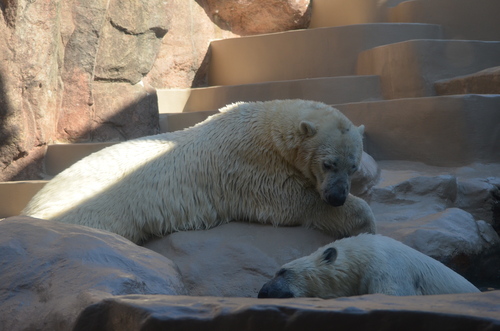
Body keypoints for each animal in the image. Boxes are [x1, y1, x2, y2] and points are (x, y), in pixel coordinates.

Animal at [22, 99, 376, 244]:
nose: (337, 196)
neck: (266, 127)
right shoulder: (250, 165)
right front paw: (364, 222)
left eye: (352, 165)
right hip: (91, 211)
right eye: (328, 163)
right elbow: (292, 200)